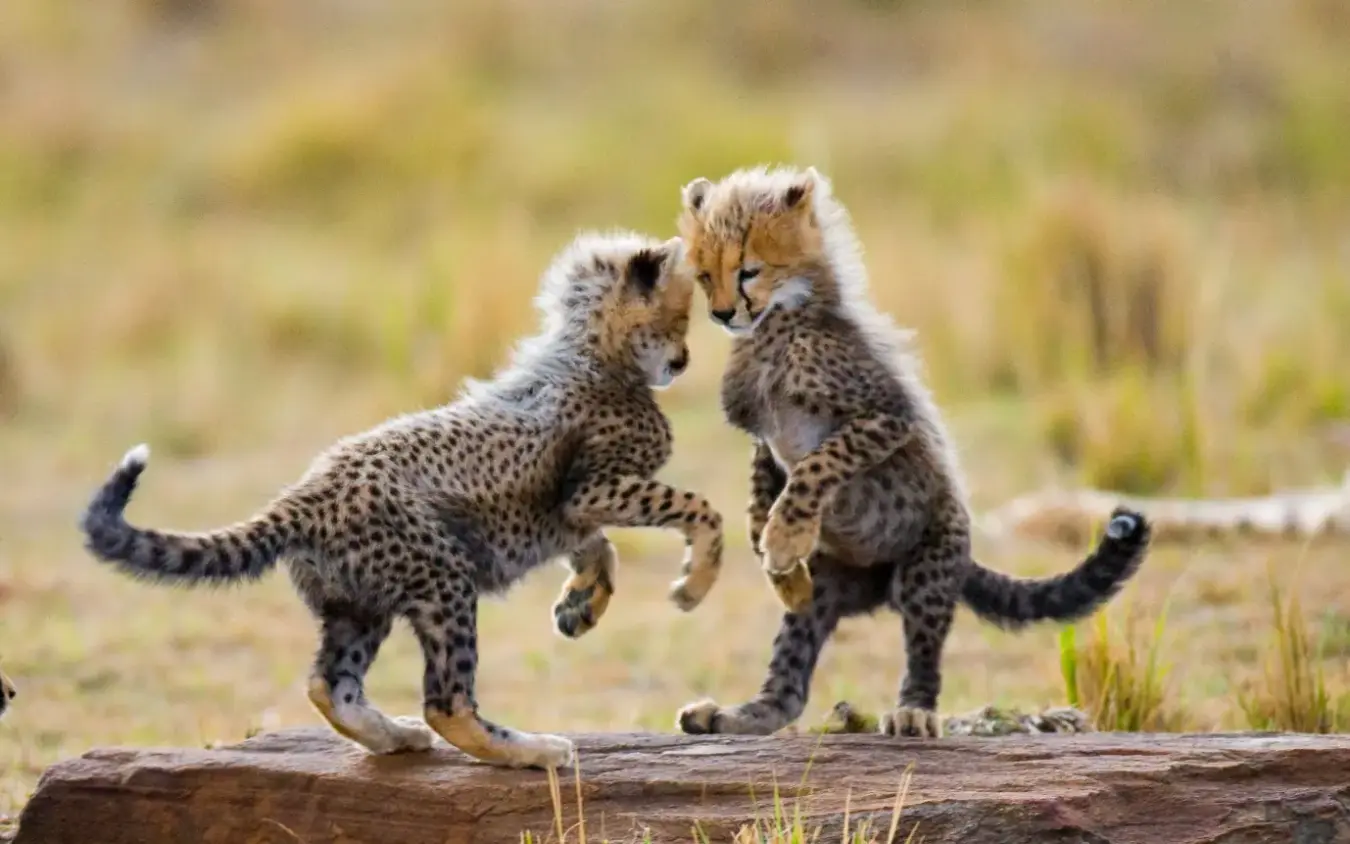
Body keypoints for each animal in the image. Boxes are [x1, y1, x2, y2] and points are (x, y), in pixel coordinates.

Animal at [78, 230, 726, 769]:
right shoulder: (593, 488)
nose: (683, 360)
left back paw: (393, 737)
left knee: (328, 683)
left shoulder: (569, 511)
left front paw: (581, 606)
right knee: (446, 702)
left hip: (360, 600)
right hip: (443, 578)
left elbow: (600, 547)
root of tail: (304, 494)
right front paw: (694, 584)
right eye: (681, 316)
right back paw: (530, 750)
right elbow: (698, 508)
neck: (592, 352)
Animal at [672, 164, 1153, 739]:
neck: (778, 322)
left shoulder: (885, 417)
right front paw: (770, 550)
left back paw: (914, 712)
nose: (723, 313)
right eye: (704, 275)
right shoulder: (764, 437)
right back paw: (736, 714)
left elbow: (816, 465)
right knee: (788, 683)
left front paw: (785, 539)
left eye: (748, 270)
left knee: (924, 651)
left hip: (927, 565)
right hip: (826, 589)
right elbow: (761, 484)